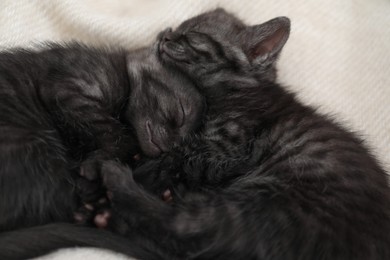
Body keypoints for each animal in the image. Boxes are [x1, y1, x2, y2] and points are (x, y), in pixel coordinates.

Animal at [0, 42, 206, 232]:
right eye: (181, 113)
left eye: (181, 143)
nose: (169, 146)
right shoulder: (68, 90)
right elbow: (119, 134)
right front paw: (96, 165)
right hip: (38, 146)